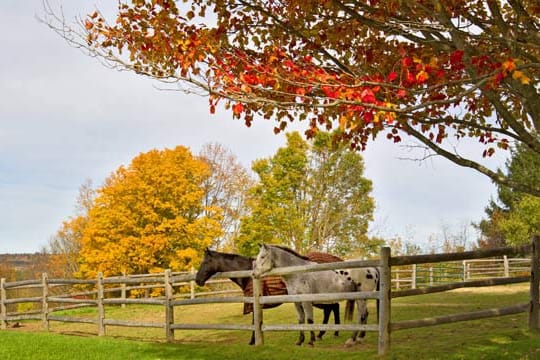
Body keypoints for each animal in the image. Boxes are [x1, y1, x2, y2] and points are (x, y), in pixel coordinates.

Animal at [196, 248, 344, 344]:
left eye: (205, 262)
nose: (198, 280)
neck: (248, 273)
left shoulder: (254, 303)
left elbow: (254, 322)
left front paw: (253, 341)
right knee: (332, 309)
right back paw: (327, 333)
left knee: (332, 309)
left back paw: (325, 333)